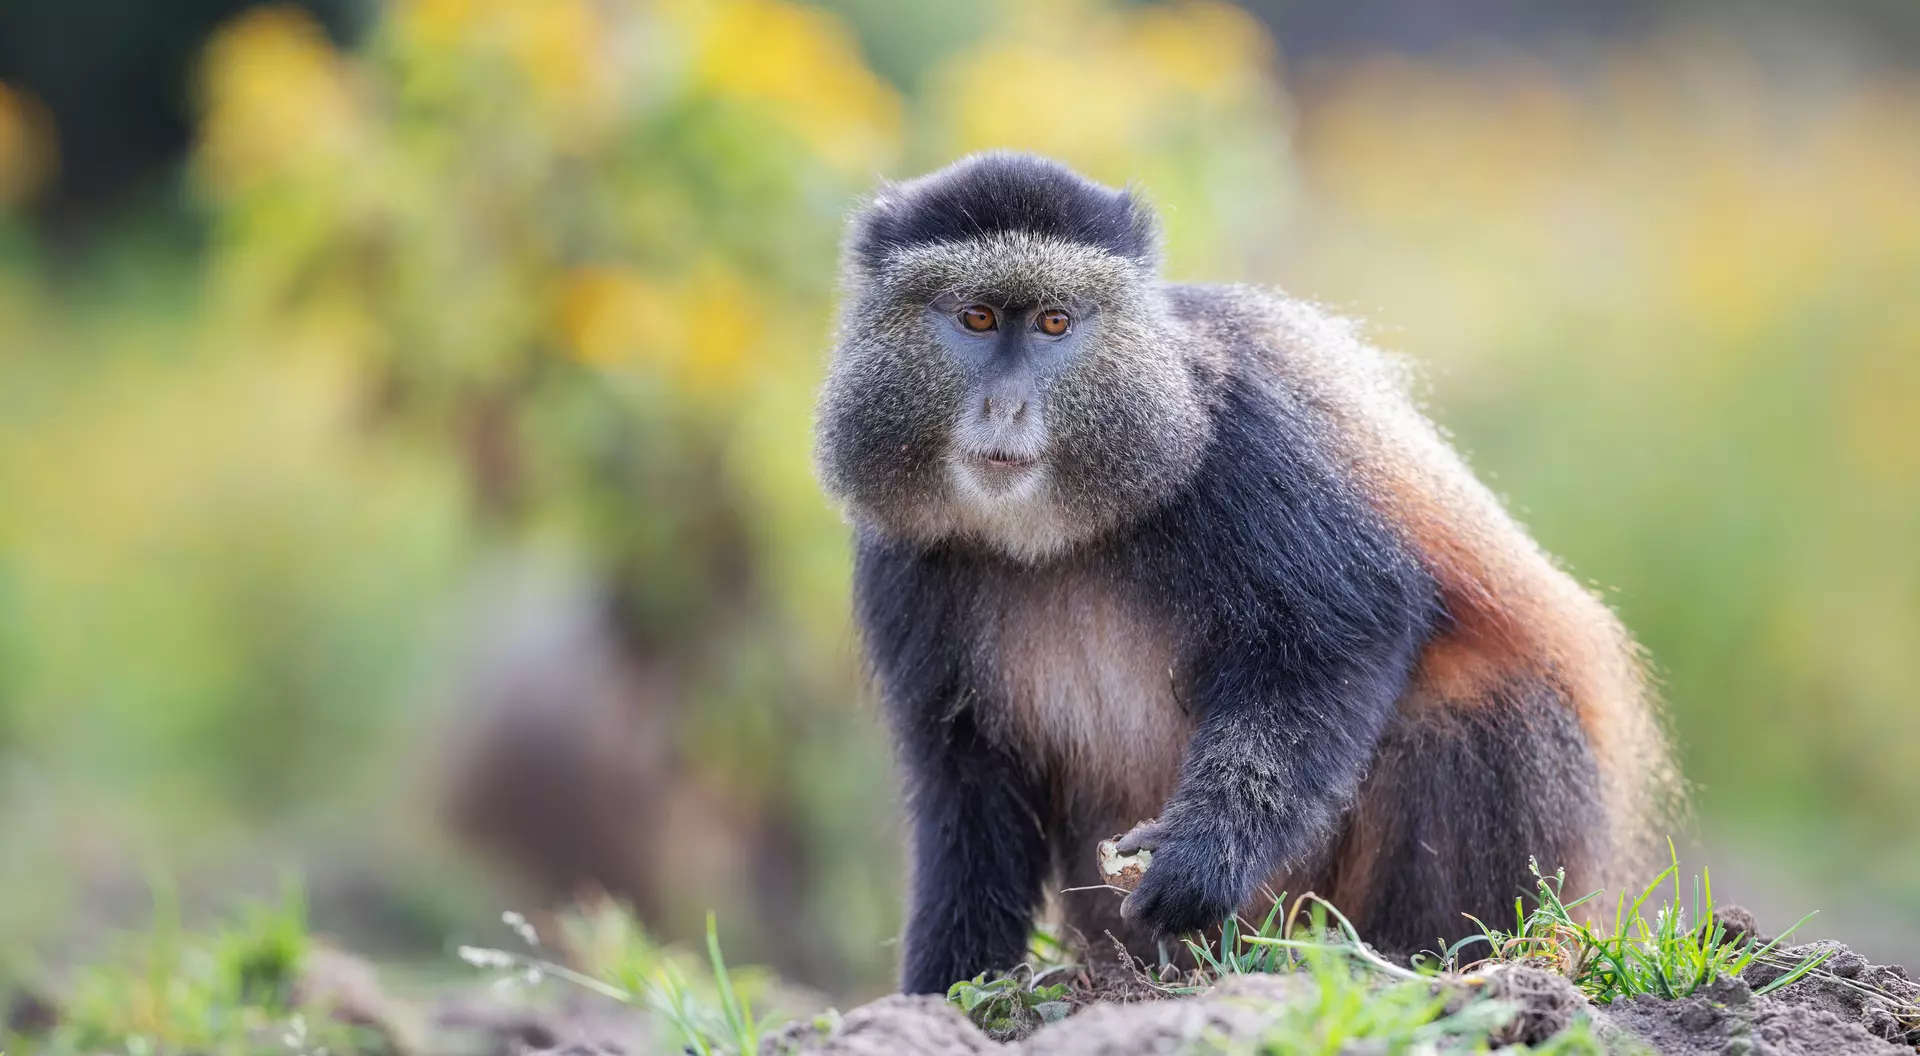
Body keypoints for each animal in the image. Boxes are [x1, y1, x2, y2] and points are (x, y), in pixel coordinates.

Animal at [814, 152, 1677, 996]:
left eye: (1055, 322)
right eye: (977, 318)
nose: (1005, 407)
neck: (1052, 534)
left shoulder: (1240, 440)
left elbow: (1345, 629)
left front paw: (1201, 860)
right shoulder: (900, 559)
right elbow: (966, 784)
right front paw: (942, 994)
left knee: (1466, 708)